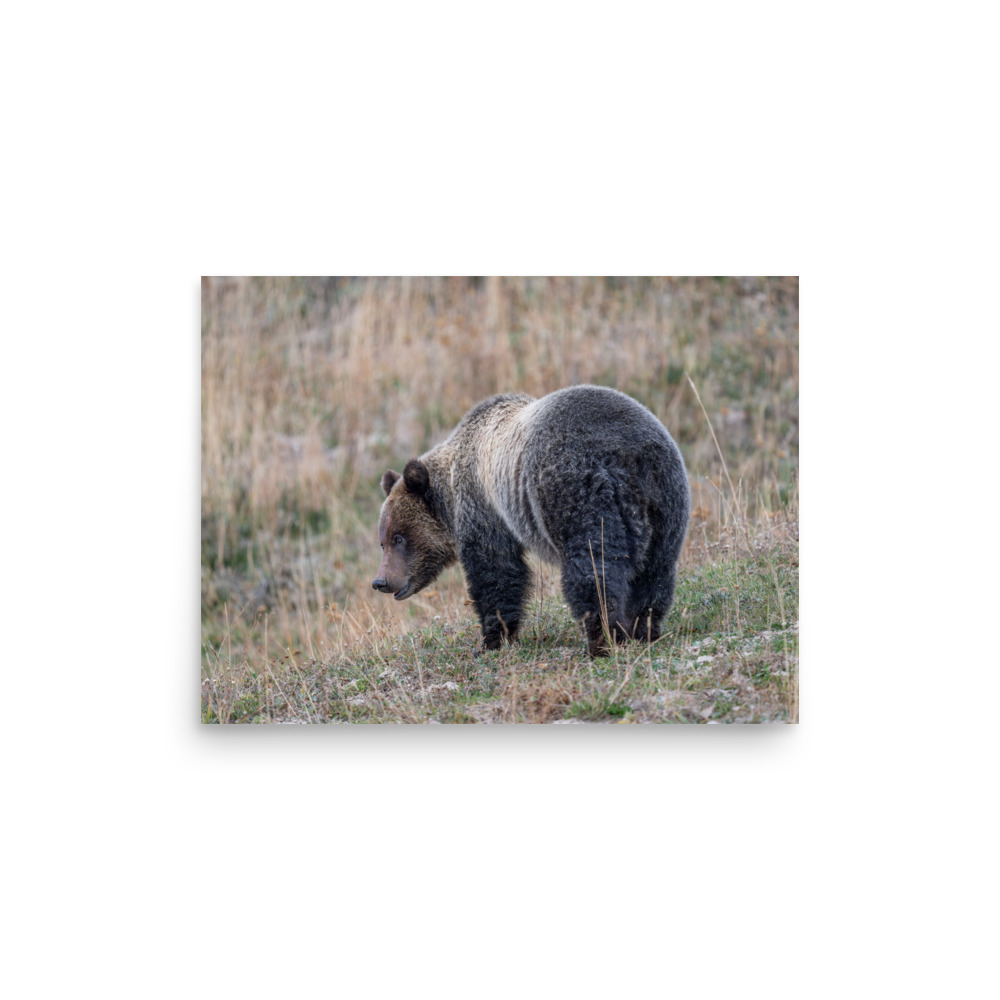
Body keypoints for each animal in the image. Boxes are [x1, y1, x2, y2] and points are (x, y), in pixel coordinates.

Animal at [372, 385, 690, 657]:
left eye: (399, 537)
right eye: (383, 541)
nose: (381, 581)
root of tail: (629, 455)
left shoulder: (484, 508)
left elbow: (496, 572)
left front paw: (492, 640)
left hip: (577, 491)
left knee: (593, 569)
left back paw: (602, 640)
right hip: (666, 501)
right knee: (655, 571)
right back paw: (643, 629)